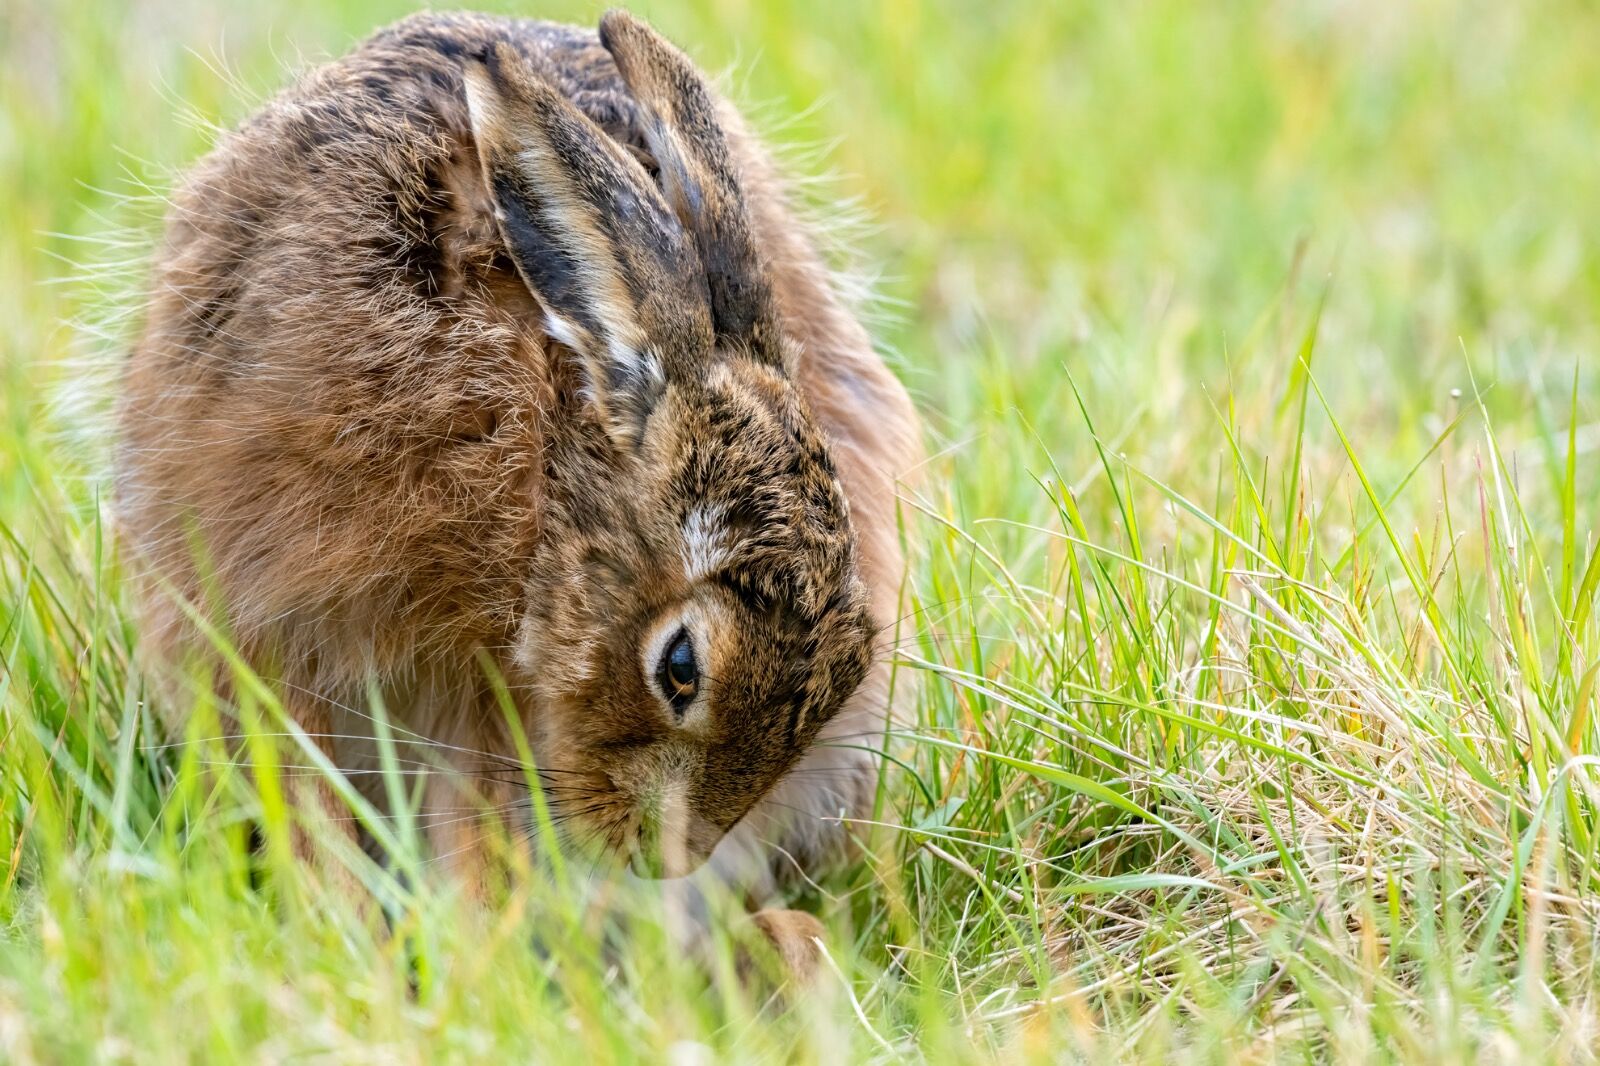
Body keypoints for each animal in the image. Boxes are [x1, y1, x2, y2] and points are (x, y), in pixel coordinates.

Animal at [115, 8, 920, 968]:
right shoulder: (288, 634)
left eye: (856, 657)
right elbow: (315, 806)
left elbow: (477, 830)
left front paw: (472, 962)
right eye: (680, 668)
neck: (546, 484)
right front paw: (360, 950)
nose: (670, 853)